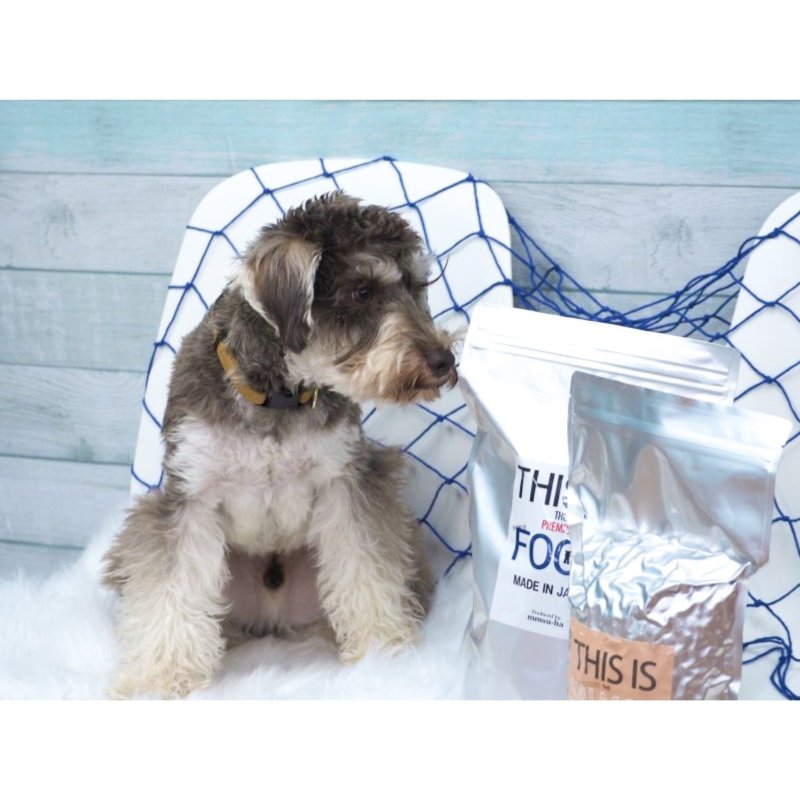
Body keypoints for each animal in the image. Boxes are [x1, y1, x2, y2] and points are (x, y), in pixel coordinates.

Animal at [103, 192, 458, 698]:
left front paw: (380, 649)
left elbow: (366, 566)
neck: (278, 396)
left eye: (417, 285)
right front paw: (160, 678)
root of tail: (271, 625)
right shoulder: (187, 498)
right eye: (362, 291)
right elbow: (172, 586)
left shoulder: (348, 484)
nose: (444, 361)